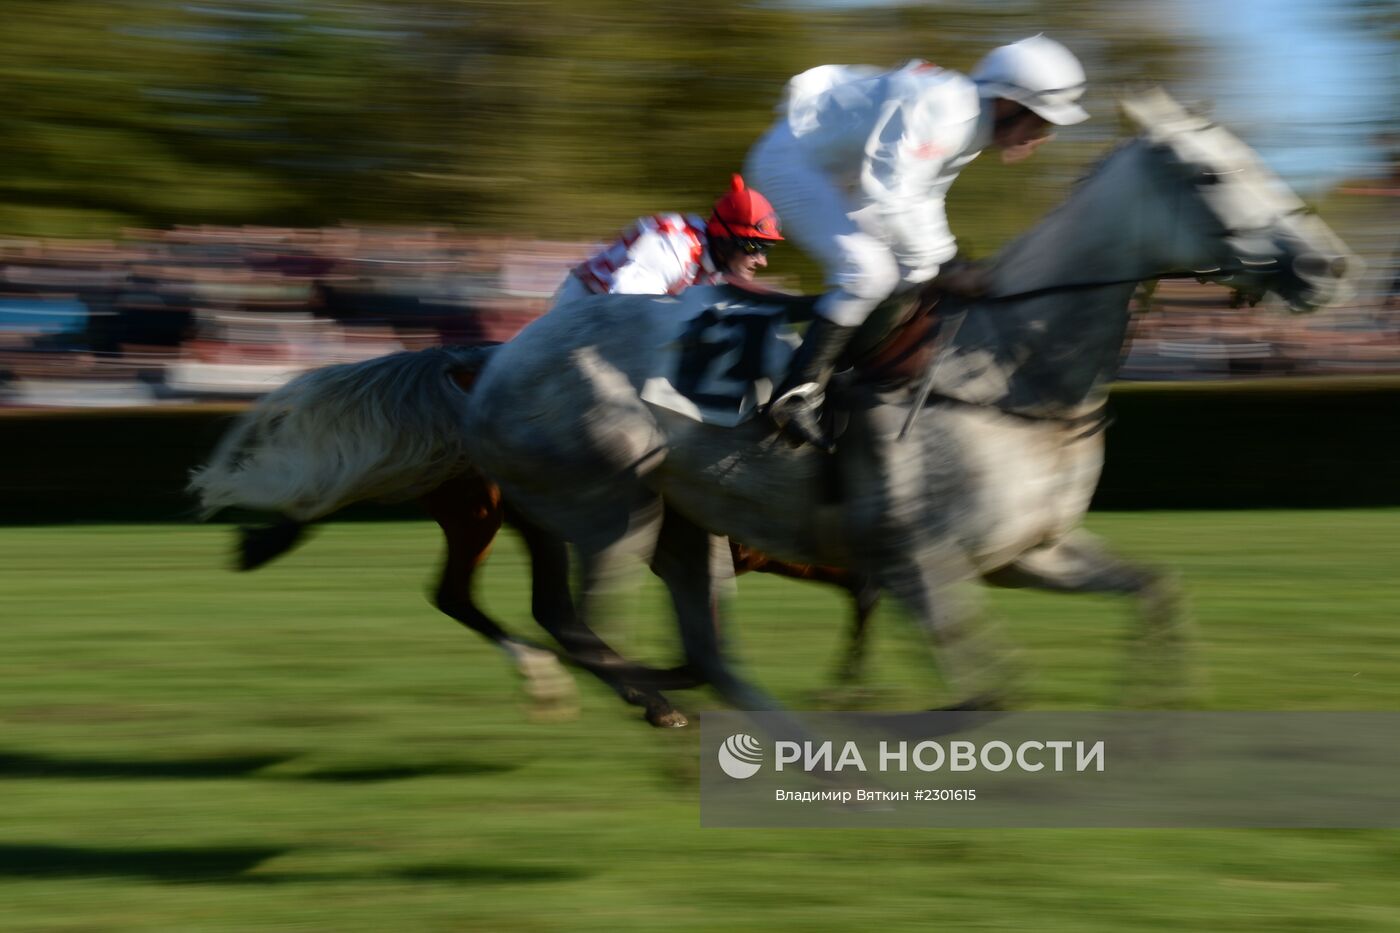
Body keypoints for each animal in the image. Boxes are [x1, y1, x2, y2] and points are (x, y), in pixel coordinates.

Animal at [459, 91, 1355, 708]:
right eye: (1210, 174)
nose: (1329, 265)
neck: (1009, 372)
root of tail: (500, 357)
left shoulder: (1030, 551)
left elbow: (1155, 589)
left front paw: (1158, 711)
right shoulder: (920, 561)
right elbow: (987, 689)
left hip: (684, 525)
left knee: (685, 642)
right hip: (611, 506)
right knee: (589, 625)